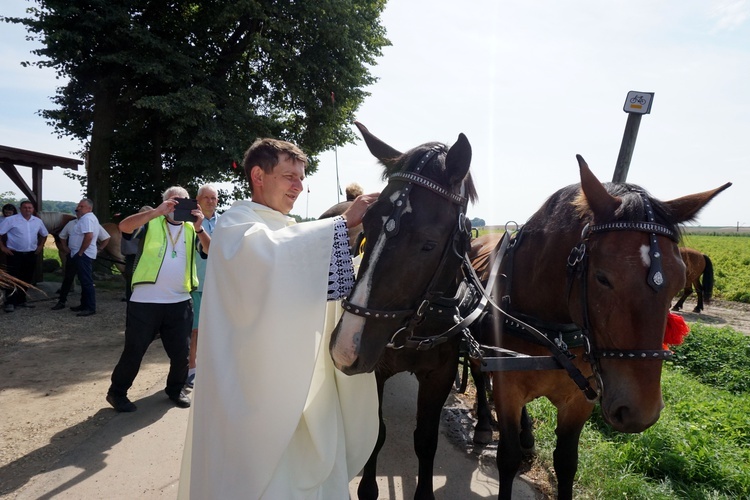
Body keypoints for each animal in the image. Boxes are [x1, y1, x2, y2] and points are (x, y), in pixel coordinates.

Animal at [332, 122, 478, 500]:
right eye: (367, 225)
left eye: (428, 243)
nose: (346, 348)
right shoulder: (375, 371)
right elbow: (377, 433)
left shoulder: (440, 375)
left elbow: (425, 440)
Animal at [472, 157, 732, 500]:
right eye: (602, 277)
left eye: (678, 280)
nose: (640, 411)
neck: (553, 333)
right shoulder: (507, 389)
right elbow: (508, 457)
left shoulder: (579, 401)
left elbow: (566, 462)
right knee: (477, 375)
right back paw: (483, 425)